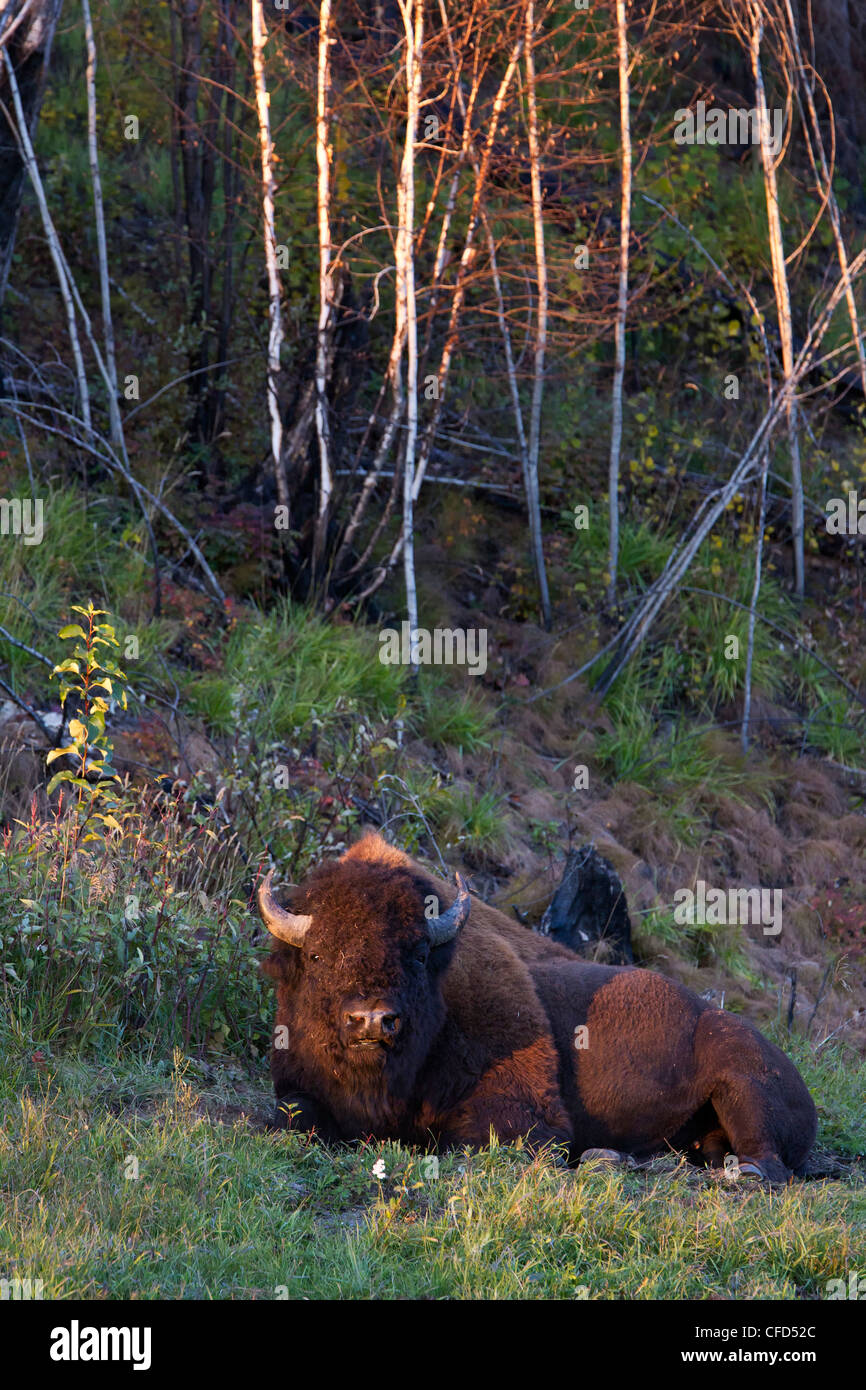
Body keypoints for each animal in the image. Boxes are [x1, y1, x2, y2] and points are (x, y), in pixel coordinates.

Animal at [258, 834, 817, 1184]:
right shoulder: (299, 1090)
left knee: (769, 1163)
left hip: (742, 1085)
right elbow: (295, 1115)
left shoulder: (523, 1116)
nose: (372, 1020)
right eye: (316, 954)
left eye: (416, 954)